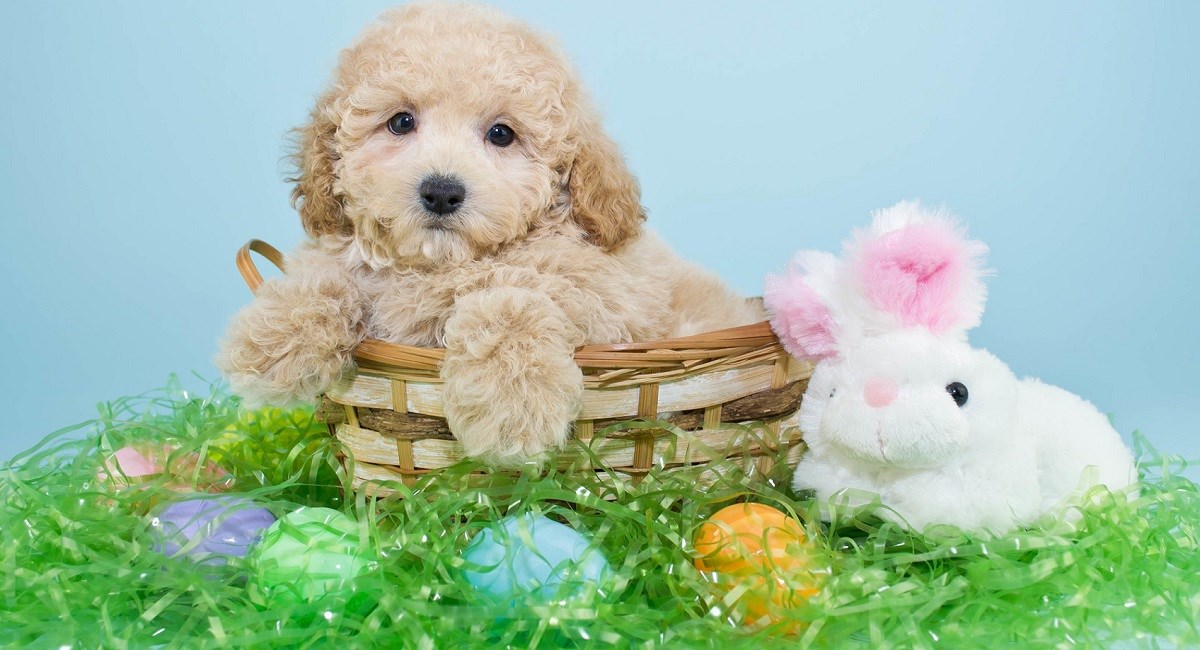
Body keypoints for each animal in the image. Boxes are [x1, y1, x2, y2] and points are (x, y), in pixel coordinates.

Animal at [216, 2, 758, 465]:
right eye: (400, 122)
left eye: (501, 134)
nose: (441, 191)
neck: (444, 263)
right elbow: (327, 275)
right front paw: (274, 338)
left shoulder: (614, 304)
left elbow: (514, 298)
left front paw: (513, 404)